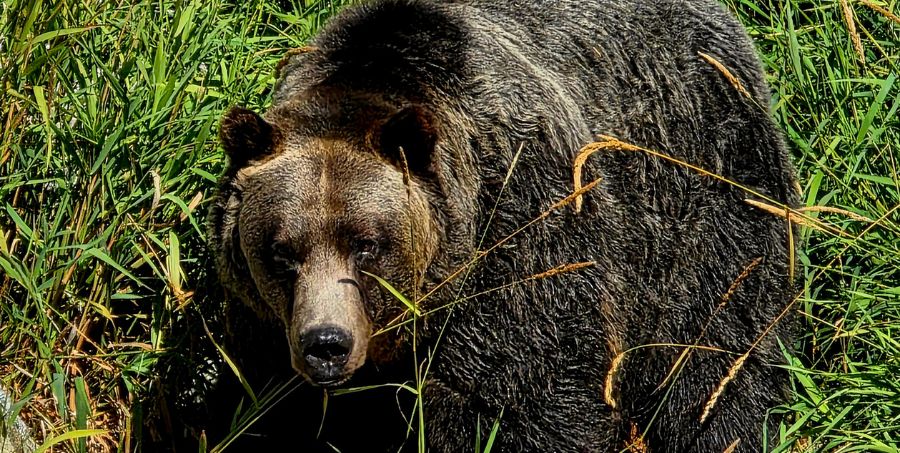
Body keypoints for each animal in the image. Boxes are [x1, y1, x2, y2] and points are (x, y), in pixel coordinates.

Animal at [208, 0, 798, 451]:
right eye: (281, 252)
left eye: (367, 245)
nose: (326, 343)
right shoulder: (263, 325)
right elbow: (277, 407)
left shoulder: (520, 239)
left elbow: (524, 397)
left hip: (705, 197)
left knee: (715, 355)